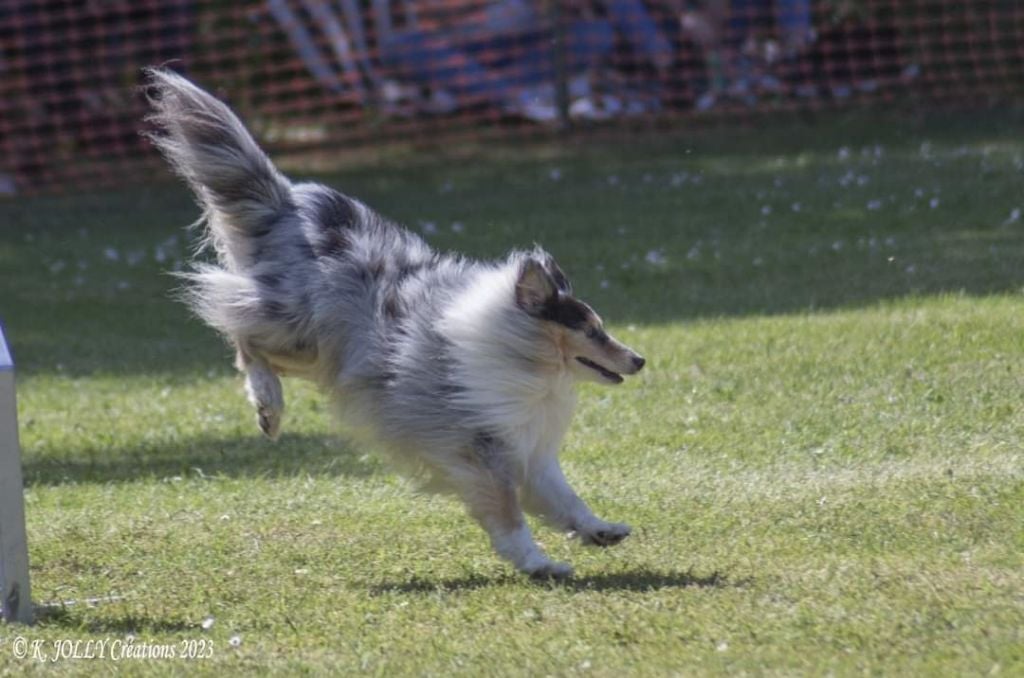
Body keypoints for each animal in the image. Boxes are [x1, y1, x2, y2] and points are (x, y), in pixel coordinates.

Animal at [144, 67, 643, 577]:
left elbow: (563, 496)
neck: (522, 354)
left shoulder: (527, 445)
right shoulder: (478, 446)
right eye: (591, 330)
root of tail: (286, 203)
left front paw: (600, 530)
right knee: (241, 334)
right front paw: (538, 563)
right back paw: (269, 406)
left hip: (333, 359)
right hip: (299, 330)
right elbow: (507, 511)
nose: (639, 360)